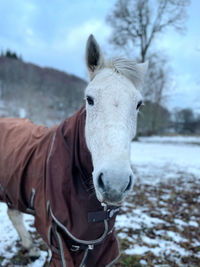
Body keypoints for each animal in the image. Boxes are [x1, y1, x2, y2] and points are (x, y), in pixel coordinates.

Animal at [0, 36, 147, 267]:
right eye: (89, 99)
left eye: (138, 104)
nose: (115, 183)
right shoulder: (58, 239)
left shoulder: (99, 242)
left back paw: (30, 249)